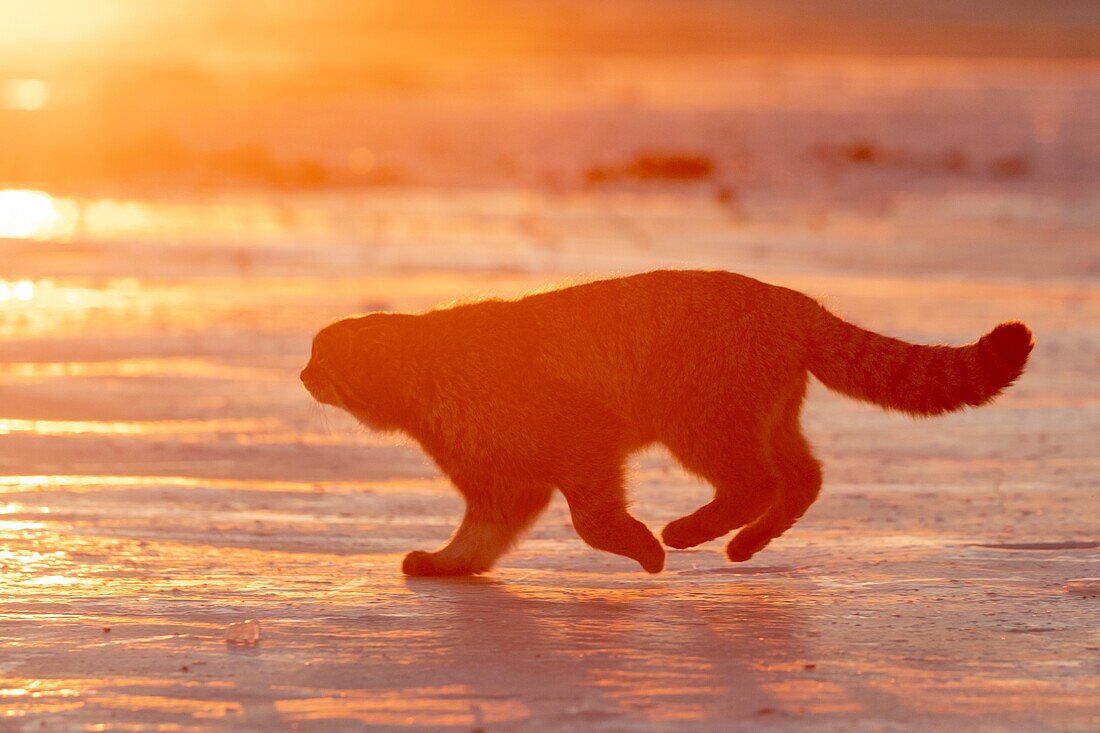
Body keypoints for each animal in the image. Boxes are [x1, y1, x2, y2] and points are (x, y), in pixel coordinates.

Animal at [299, 270, 1029, 572]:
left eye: (322, 355)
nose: (301, 375)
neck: (425, 372)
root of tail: (793, 303)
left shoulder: (579, 438)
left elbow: (591, 520)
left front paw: (642, 547)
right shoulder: (502, 483)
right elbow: (481, 536)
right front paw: (447, 563)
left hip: (701, 417)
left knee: (758, 481)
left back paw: (687, 532)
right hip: (759, 416)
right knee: (804, 476)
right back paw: (745, 543)